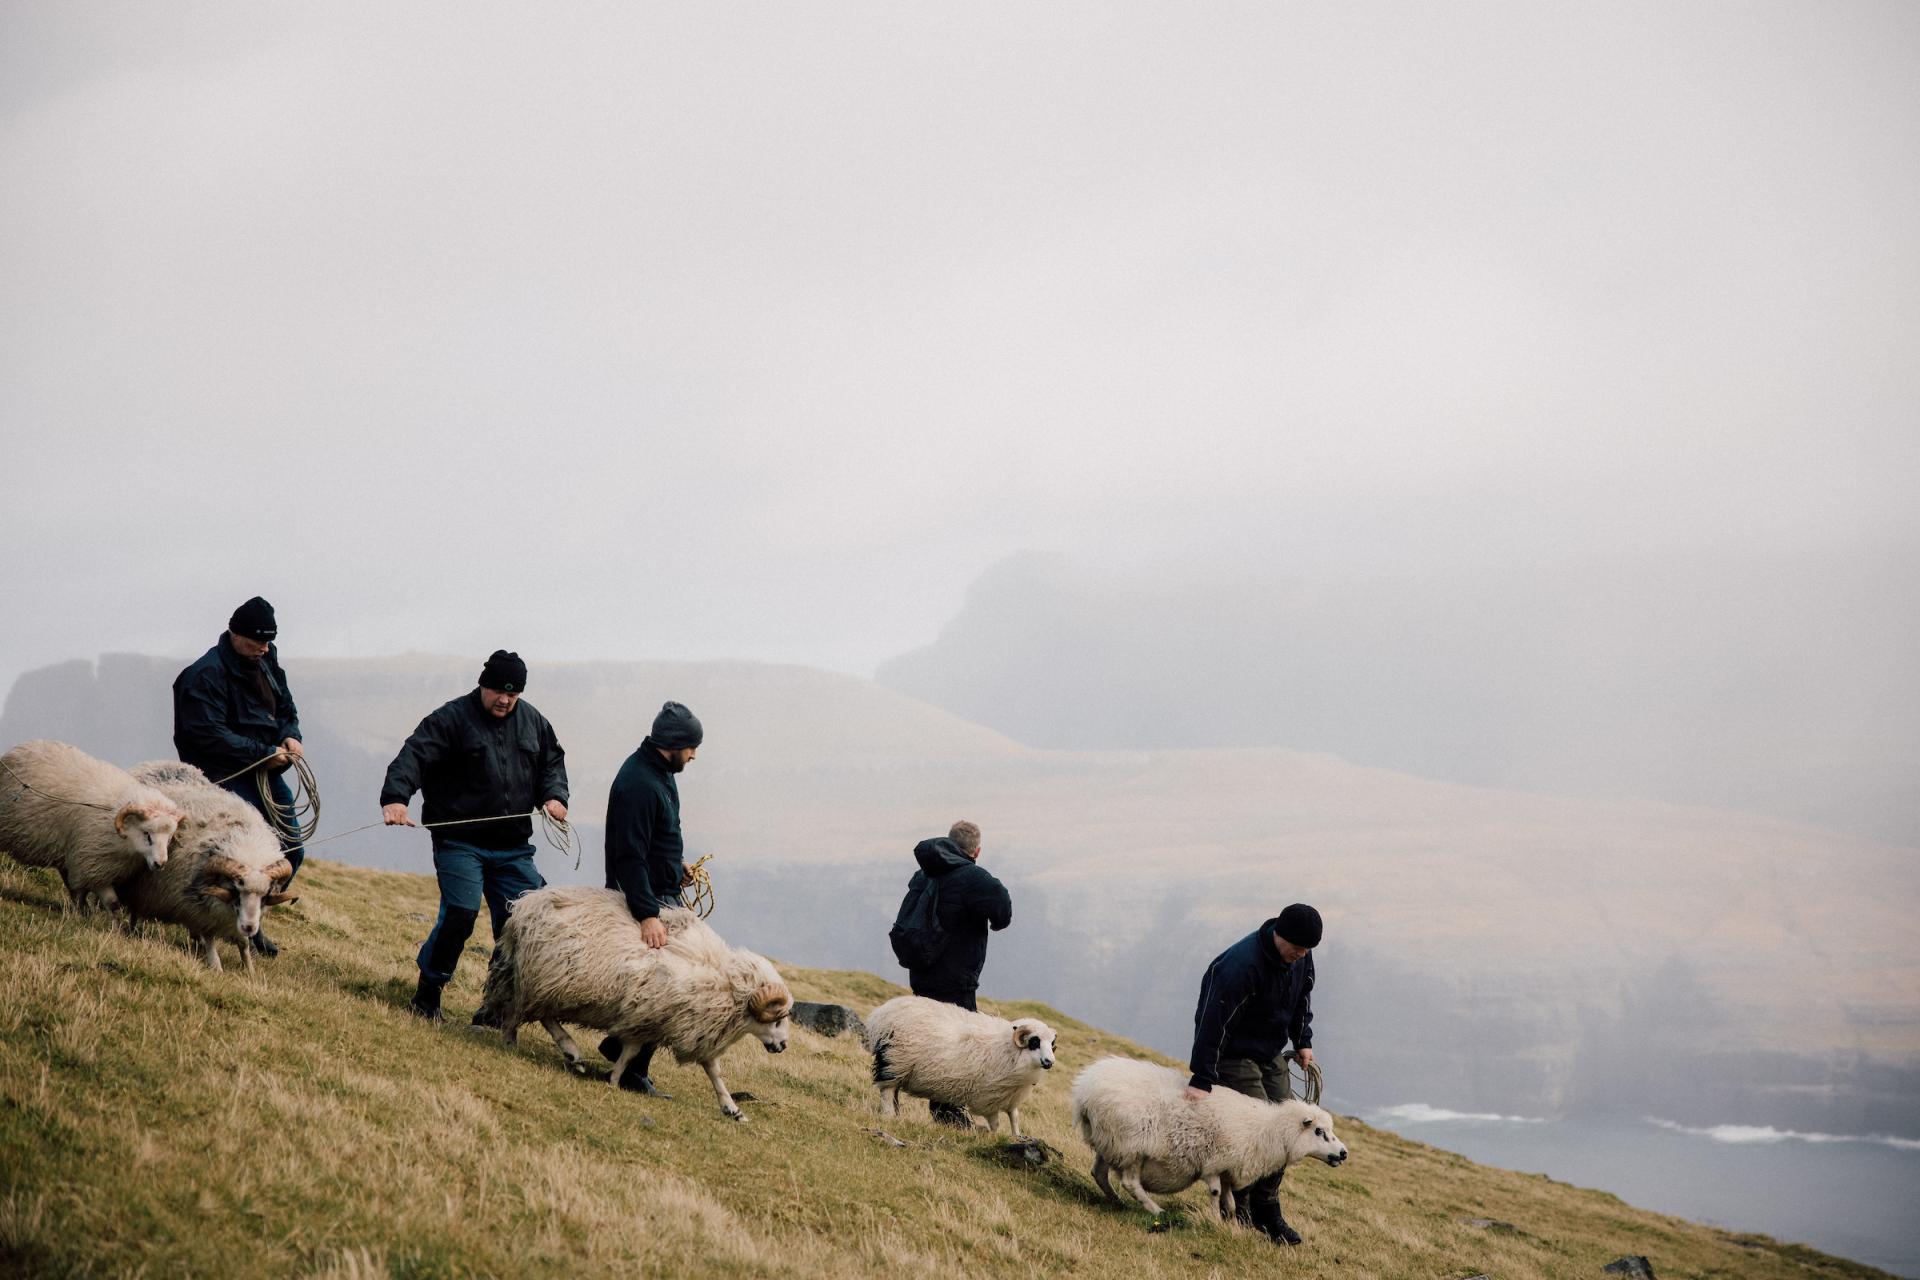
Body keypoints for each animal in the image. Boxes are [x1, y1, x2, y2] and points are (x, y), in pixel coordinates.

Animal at [0, 740, 183, 909]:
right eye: (147, 834)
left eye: (168, 839)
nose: (160, 864)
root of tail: (21, 748)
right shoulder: (88, 862)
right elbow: (91, 895)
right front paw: (81, 913)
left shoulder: (95, 865)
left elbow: (111, 902)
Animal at [119, 756, 295, 974]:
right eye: (235, 891)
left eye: (265, 896)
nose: (250, 927)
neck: (246, 848)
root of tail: (155, 763)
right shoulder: (199, 910)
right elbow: (210, 938)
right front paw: (216, 966)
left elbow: (244, 944)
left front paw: (250, 971)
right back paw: (132, 930)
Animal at [480, 890, 794, 1120]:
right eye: (777, 1020)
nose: (783, 1047)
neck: (725, 982)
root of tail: (524, 908)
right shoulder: (653, 1015)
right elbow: (634, 1052)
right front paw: (614, 1079)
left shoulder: (671, 1021)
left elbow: (710, 1069)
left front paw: (732, 1108)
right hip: (545, 977)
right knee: (526, 1012)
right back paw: (533, 1045)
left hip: (547, 980)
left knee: (536, 1012)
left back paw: (567, 1053)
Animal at [871, 997, 1067, 1136]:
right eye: (1034, 1042)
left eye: (1052, 1043)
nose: (1049, 1062)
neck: (1008, 1049)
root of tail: (884, 1013)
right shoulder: (988, 1099)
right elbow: (996, 1124)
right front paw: (991, 1136)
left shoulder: (1009, 1095)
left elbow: (1015, 1117)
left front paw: (1016, 1137)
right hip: (895, 1061)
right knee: (887, 1091)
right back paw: (889, 1116)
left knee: (893, 1092)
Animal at [1067, 1059, 1351, 1228]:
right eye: (1319, 1131)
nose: (1343, 1153)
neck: (1266, 1130)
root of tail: (1085, 1090)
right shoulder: (1215, 1163)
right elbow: (1215, 1193)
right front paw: (1214, 1220)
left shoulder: (1228, 1168)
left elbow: (1231, 1199)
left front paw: (1231, 1222)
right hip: (1132, 1146)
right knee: (1130, 1182)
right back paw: (1155, 1210)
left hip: (1109, 1141)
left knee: (1099, 1172)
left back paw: (1116, 1201)